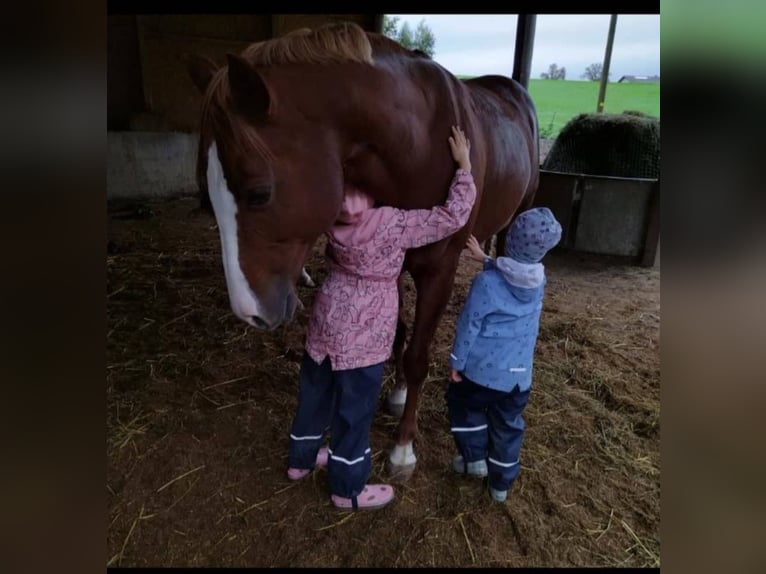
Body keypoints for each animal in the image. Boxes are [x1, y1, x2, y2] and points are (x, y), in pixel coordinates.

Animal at [188, 22, 539, 480]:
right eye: (205, 192)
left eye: (259, 192)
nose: (249, 312)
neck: (418, 142)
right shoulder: (394, 258)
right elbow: (399, 334)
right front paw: (397, 392)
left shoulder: (438, 269)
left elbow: (418, 355)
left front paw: (403, 447)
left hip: (521, 213)